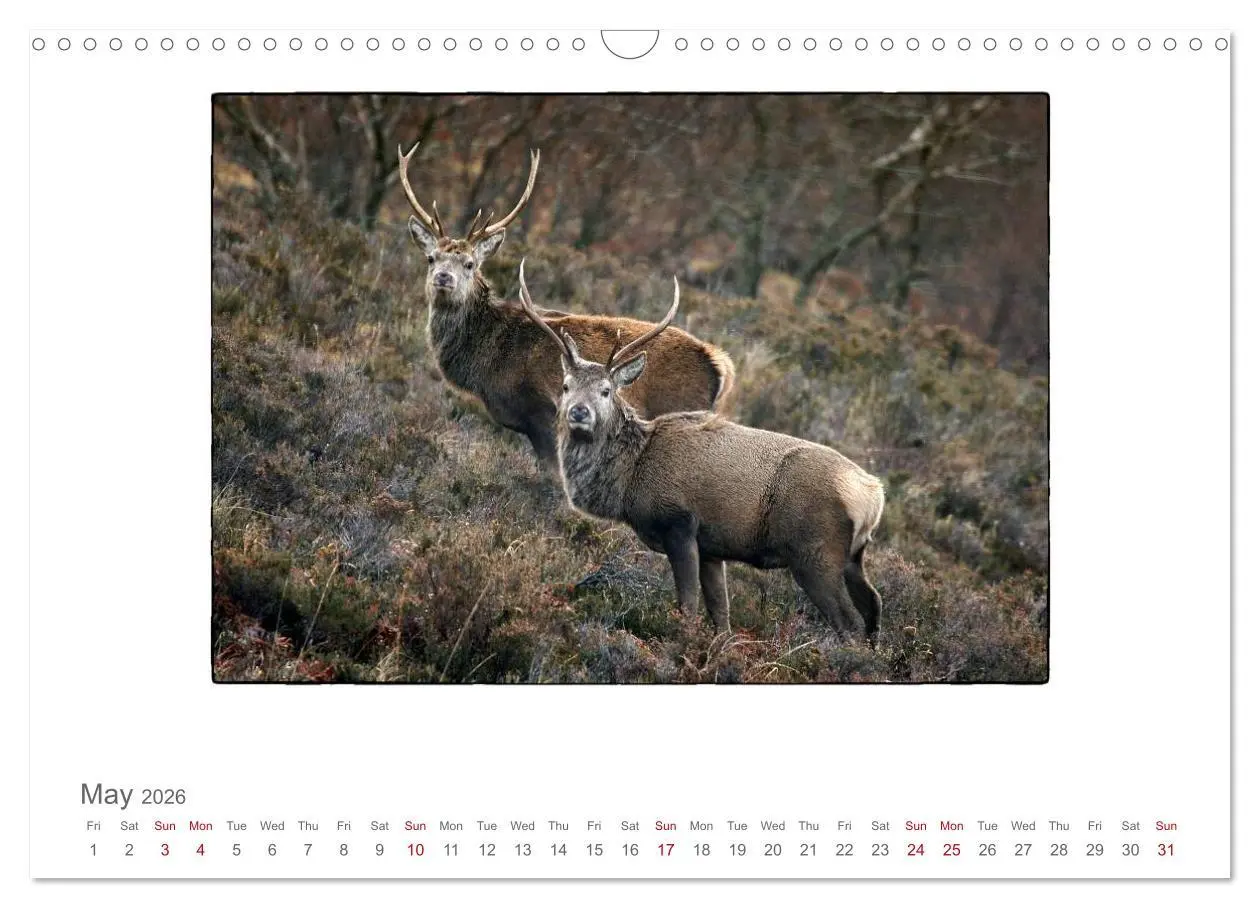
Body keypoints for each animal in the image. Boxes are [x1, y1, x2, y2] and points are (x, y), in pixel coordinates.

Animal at [397, 143, 735, 476]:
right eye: (431, 258)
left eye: (469, 264)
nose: (444, 277)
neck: (489, 358)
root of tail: (720, 365)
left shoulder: (542, 410)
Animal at [518, 261, 886, 645]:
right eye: (566, 386)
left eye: (606, 390)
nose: (579, 412)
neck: (630, 478)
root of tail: (873, 495)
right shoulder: (711, 546)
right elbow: (720, 613)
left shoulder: (679, 522)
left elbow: (689, 604)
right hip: (853, 555)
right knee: (874, 604)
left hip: (816, 553)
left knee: (850, 622)